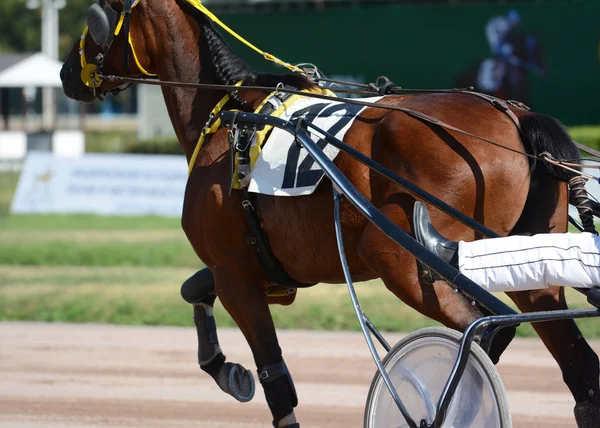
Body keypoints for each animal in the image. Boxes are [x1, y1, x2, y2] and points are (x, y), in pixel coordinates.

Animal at [61, 1, 600, 426]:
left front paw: (235, 371)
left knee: (488, 327)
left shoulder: (235, 274)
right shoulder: (253, 265)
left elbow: (276, 381)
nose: (68, 73)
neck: (229, 114)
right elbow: (193, 288)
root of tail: (515, 115)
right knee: (577, 366)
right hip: (529, 266)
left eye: (99, 16)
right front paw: (227, 370)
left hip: (401, 259)